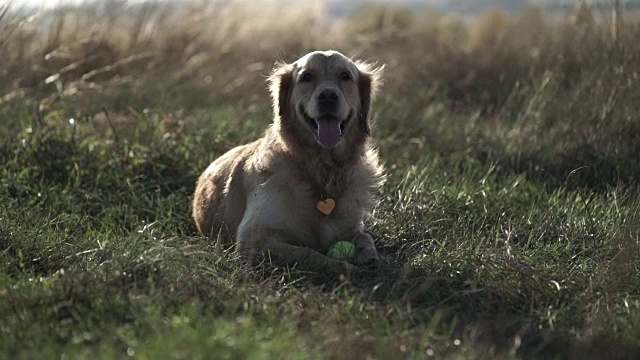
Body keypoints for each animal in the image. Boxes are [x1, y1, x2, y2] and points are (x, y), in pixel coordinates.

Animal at [192, 50, 384, 276]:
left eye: (345, 76)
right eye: (307, 77)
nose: (328, 96)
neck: (320, 169)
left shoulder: (352, 225)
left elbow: (365, 236)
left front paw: (370, 256)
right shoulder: (252, 239)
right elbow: (307, 253)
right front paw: (346, 268)